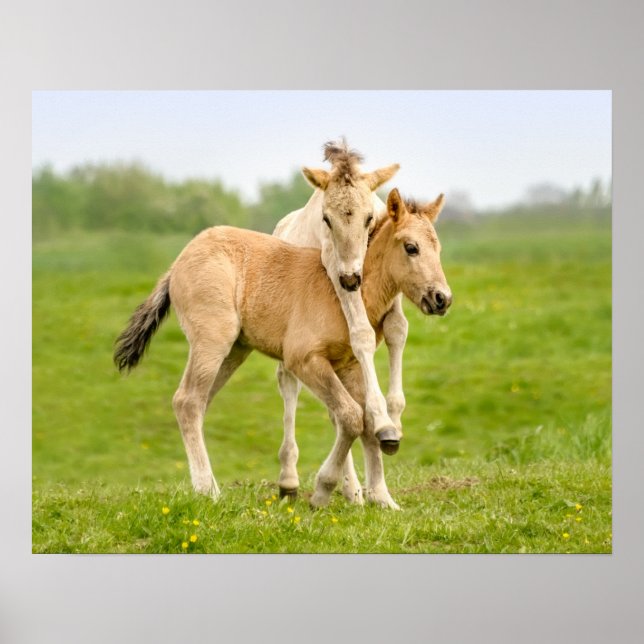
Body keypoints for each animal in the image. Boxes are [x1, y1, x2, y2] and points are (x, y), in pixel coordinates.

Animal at [113, 188, 451, 509]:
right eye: (411, 247)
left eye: (438, 248)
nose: (442, 298)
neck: (344, 293)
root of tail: (177, 263)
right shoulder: (304, 360)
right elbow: (351, 416)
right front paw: (322, 491)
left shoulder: (349, 365)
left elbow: (367, 421)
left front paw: (382, 498)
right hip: (212, 341)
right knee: (188, 401)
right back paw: (208, 490)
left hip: (234, 350)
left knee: (196, 402)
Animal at [274, 139, 408, 502]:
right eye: (326, 219)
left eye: (369, 217)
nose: (351, 279)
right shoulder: (335, 269)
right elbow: (361, 333)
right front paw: (382, 422)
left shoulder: (390, 287)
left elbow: (396, 330)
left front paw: (394, 416)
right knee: (290, 384)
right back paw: (300, 481)